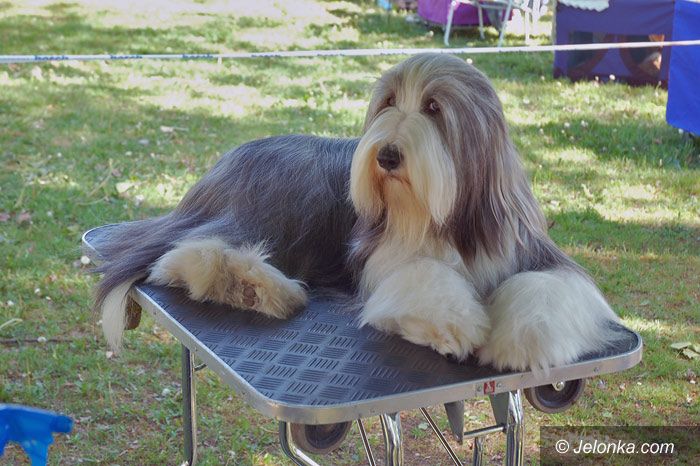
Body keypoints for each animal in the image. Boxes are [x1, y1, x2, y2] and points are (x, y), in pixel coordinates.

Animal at [95, 53, 619, 371]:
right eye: (388, 102)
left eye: (433, 107)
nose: (386, 155)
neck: (439, 217)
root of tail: (219, 167)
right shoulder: (381, 256)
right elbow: (423, 277)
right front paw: (454, 326)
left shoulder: (527, 248)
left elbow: (550, 287)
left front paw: (520, 343)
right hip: (275, 209)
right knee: (187, 254)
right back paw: (257, 286)